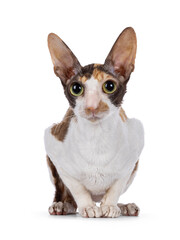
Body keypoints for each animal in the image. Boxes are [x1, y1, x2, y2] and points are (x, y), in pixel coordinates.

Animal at [44, 27, 144, 218]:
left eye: (109, 86)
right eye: (76, 88)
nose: (92, 106)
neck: (97, 136)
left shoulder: (134, 148)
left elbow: (117, 185)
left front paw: (111, 205)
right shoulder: (52, 143)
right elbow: (77, 187)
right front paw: (88, 207)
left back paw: (123, 206)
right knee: (65, 193)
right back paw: (63, 205)